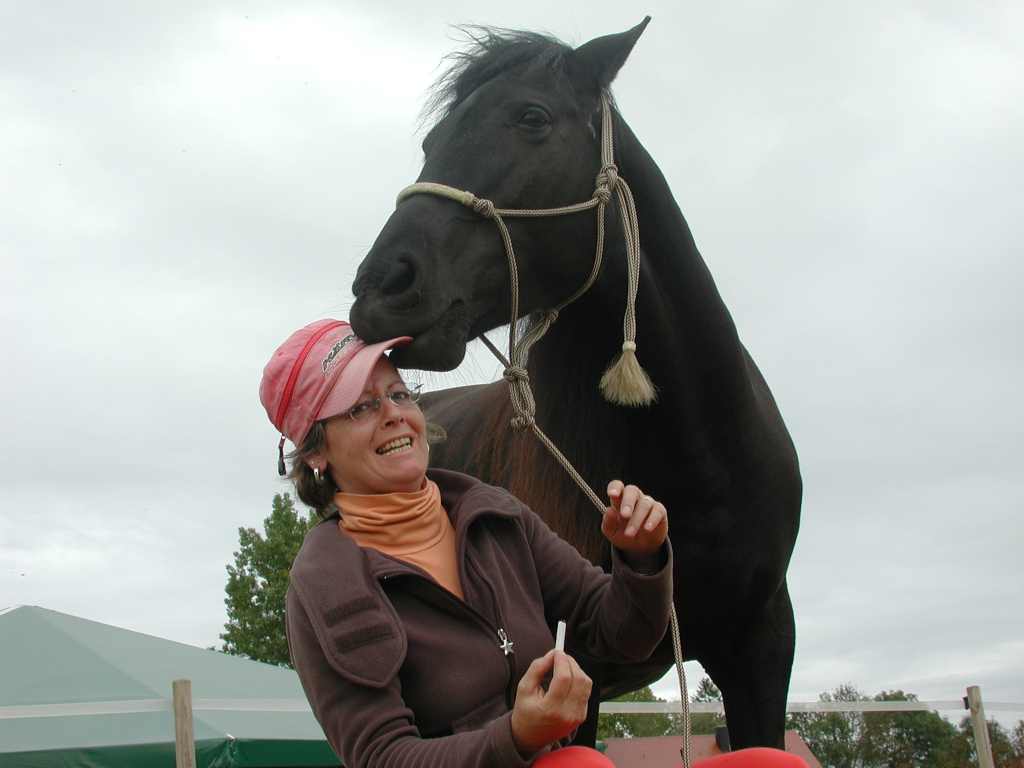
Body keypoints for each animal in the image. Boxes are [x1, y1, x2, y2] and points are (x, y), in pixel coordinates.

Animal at [348, 19, 802, 750]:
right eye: (429, 143)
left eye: (532, 118)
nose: (379, 289)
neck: (696, 464)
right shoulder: (572, 671)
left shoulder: (762, 648)